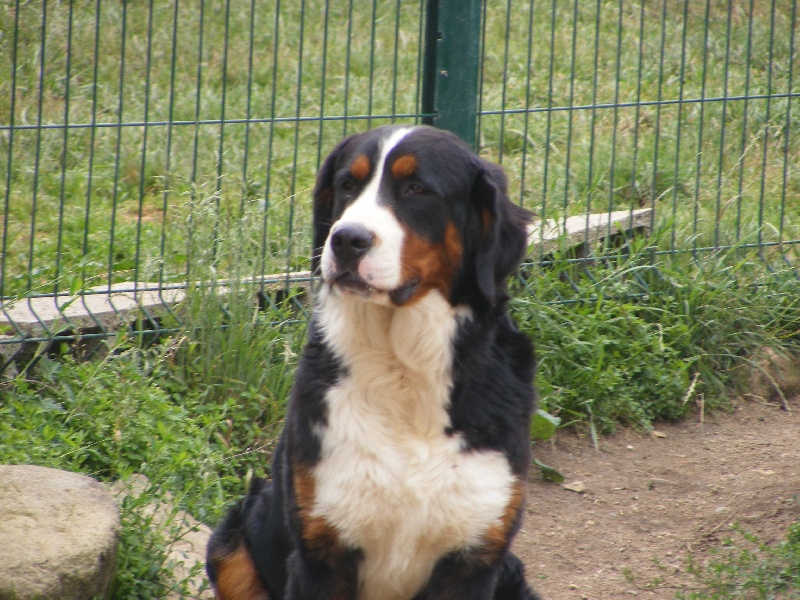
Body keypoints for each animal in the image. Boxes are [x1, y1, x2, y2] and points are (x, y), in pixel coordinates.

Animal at [206, 124, 540, 596]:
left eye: (417, 189)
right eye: (348, 185)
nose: (346, 239)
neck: (404, 368)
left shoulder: (475, 556)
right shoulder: (319, 552)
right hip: (231, 539)